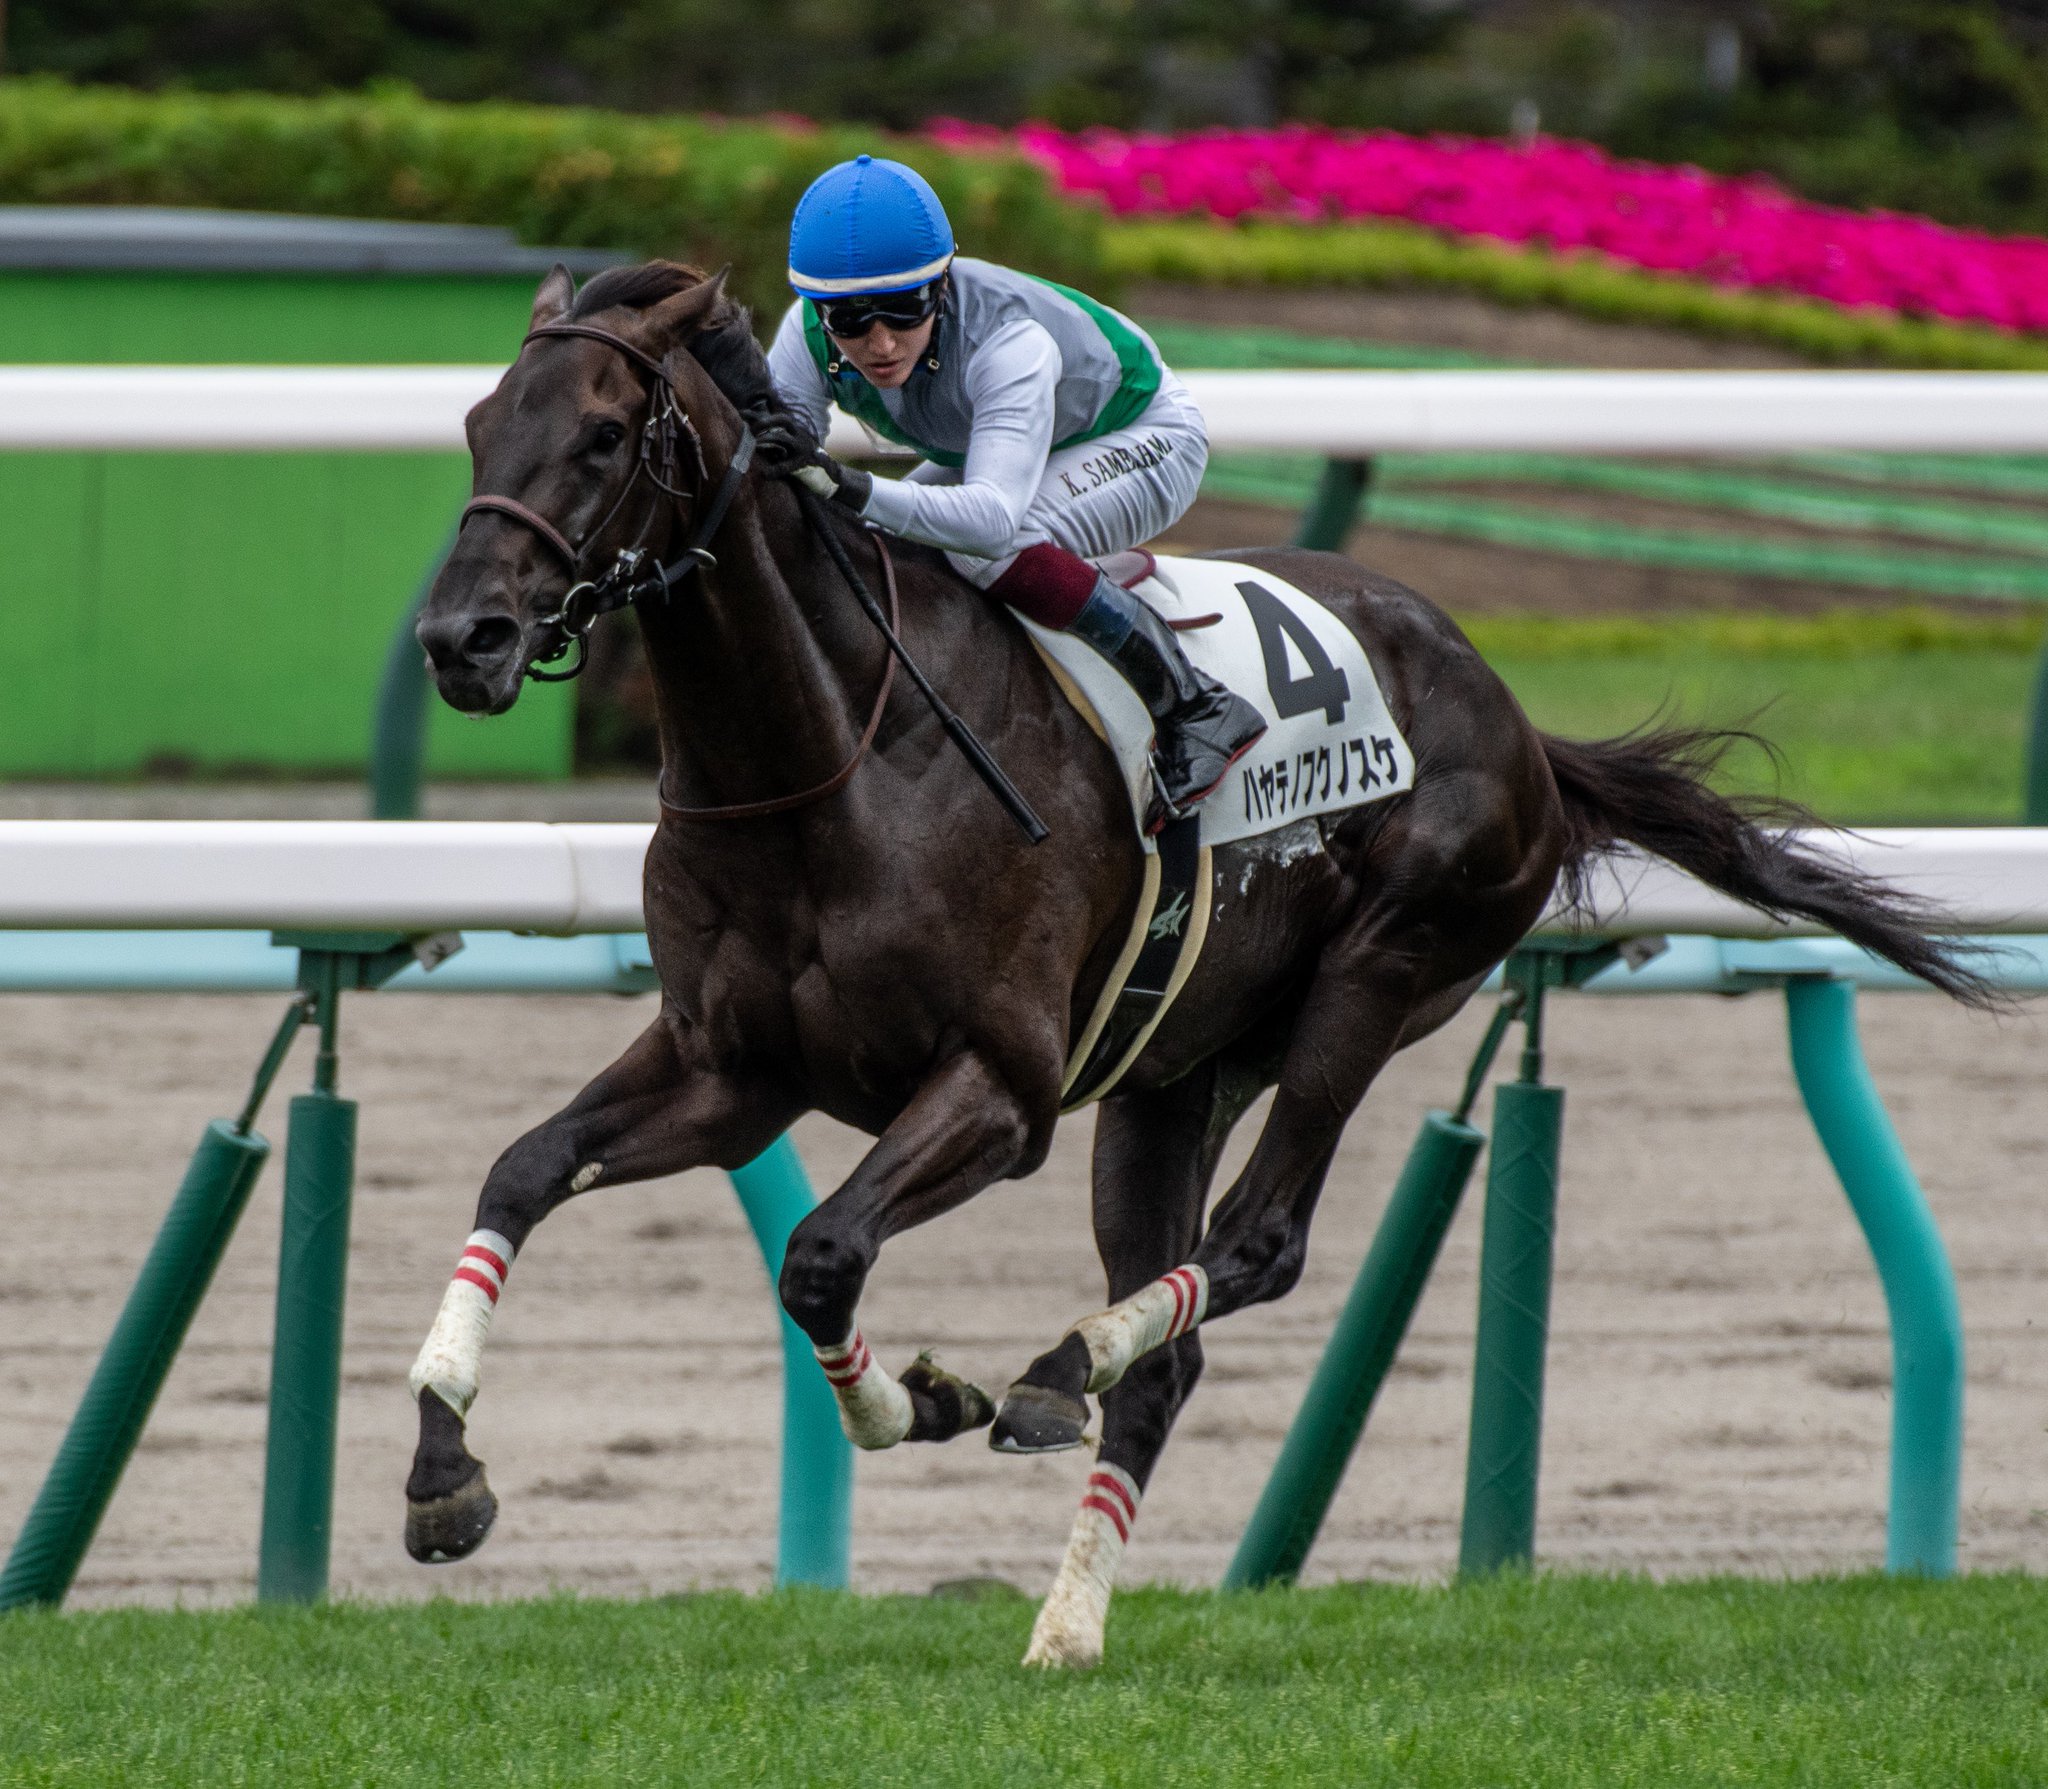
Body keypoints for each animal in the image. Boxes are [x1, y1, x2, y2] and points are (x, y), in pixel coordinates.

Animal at [399, 257, 1982, 1670]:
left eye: (605, 433)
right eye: (477, 423)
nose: (462, 637)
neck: (831, 756)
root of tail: (1518, 719)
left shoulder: (1003, 1089)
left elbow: (824, 1252)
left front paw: (923, 1402)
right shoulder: (731, 1071)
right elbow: (521, 1174)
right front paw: (441, 1468)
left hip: (1379, 974)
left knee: (1260, 1244)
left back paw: (1057, 1372)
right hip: (1173, 1073)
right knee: (1172, 1347)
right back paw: (1065, 1623)